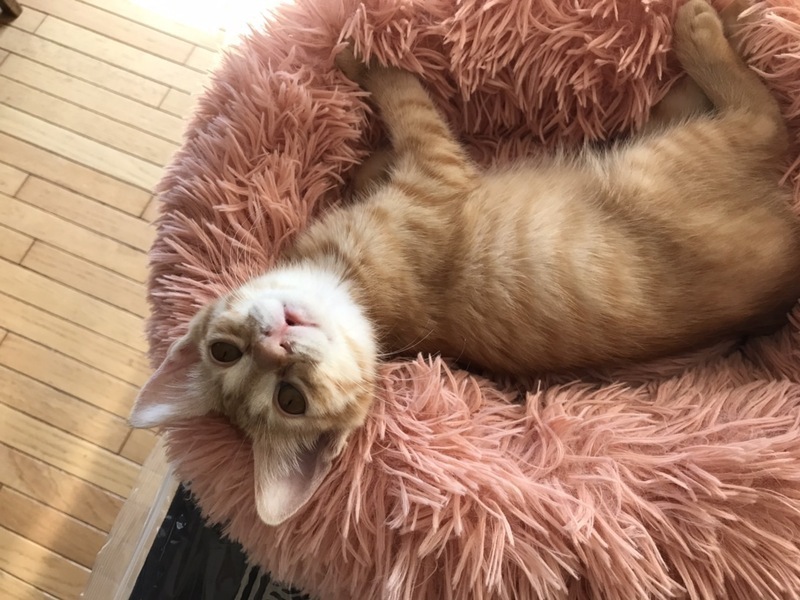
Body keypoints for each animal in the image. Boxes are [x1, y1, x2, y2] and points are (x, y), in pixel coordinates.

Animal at [131, 0, 800, 526]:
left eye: (224, 351)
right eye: (288, 399)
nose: (276, 342)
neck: (352, 286)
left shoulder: (426, 164)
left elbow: (385, 121)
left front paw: (360, 126)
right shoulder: (439, 162)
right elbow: (402, 87)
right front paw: (357, 57)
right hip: (661, 165)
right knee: (762, 116)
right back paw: (705, 28)